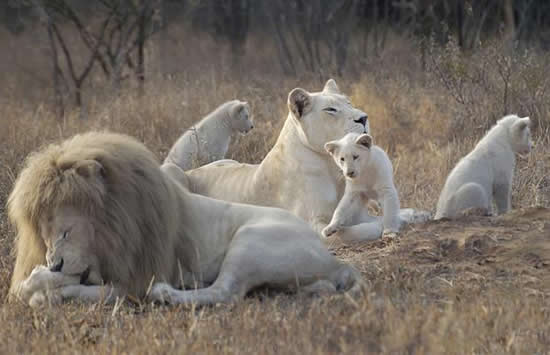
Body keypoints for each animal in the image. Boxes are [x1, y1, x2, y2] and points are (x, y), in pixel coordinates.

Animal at [9, 132, 366, 308]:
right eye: (44, 236)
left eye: (66, 232)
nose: (54, 262)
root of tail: (333, 259)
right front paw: (41, 285)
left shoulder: (138, 276)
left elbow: (99, 290)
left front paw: (41, 287)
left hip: (250, 242)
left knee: (224, 293)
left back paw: (166, 295)